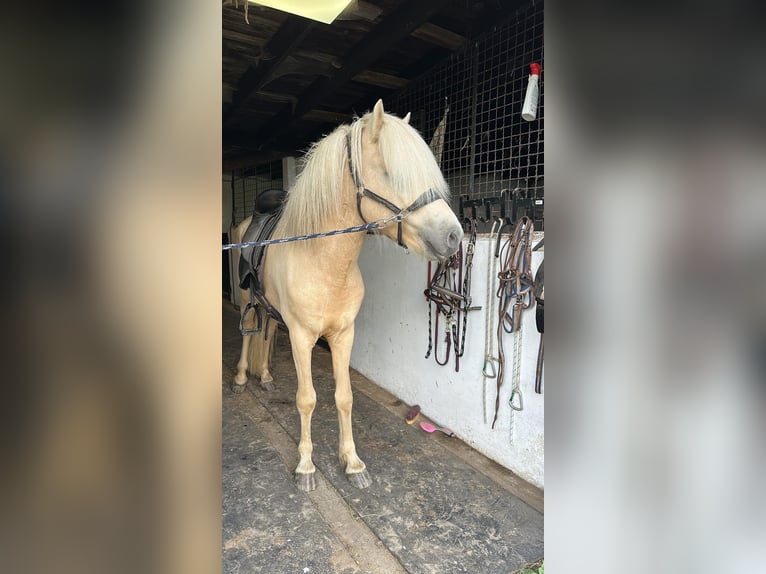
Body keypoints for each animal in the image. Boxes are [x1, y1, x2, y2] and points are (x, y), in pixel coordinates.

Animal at [232, 101, 462, 492]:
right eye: (390, 171)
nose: (453, 236)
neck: (323, 261)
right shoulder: (302, 337)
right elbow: (307, 399)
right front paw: (306, 467)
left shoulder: (343, 335)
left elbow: (344, 397)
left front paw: (353, 463)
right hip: (250, 300)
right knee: (250, 331)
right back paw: (242, 378)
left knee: (268, 330)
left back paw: (264, 376)